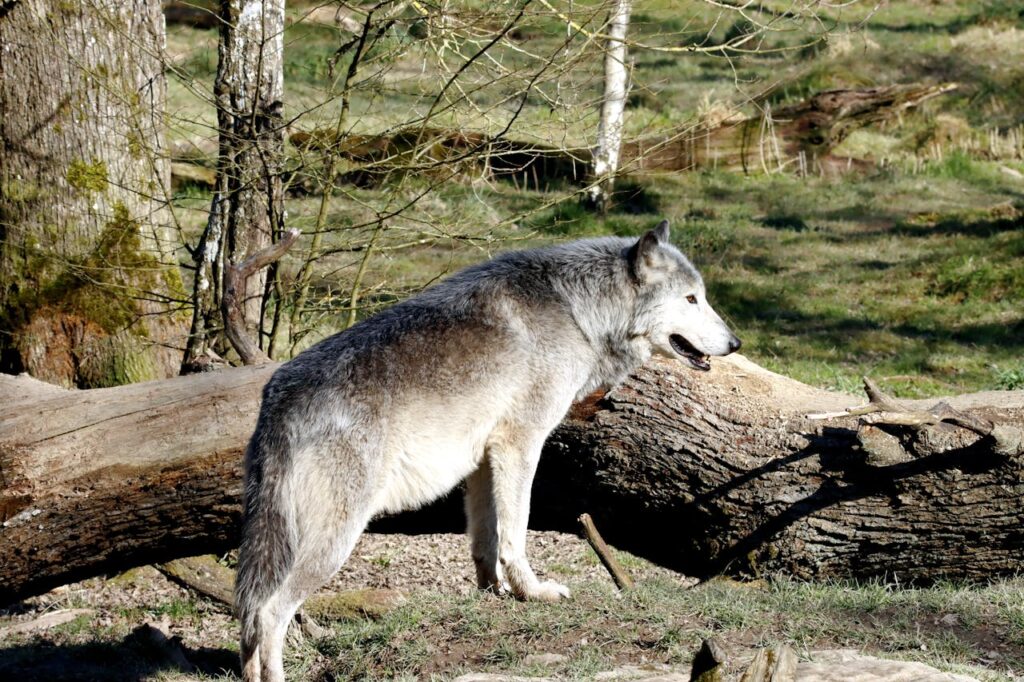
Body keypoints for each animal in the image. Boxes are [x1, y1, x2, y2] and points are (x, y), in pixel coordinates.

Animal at [235, 220, 740, 681]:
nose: (735, 343)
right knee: (269, 611)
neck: (579, 312)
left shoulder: (482, 458)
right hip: (335, 539)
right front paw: (533, 591)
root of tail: (279, 399)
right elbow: (516, 531)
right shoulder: (522, 442)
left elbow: (485, 540)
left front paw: (492, 594)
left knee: (249, 616)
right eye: (691, 299)